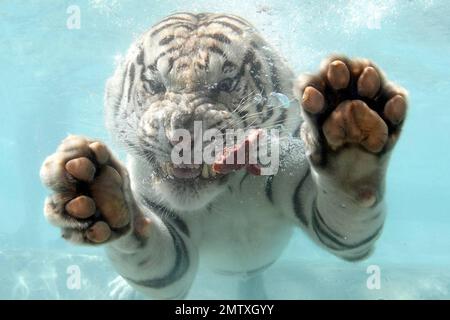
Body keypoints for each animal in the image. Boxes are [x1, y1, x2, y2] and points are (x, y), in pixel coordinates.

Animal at [40, 11, 410, 298]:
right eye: (156, 84)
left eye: (226, 84)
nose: (181, 132)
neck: (224, 196)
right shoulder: (171, 248)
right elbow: (151, 252)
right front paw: (101, 194)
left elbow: (350, 200)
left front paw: (352, 129)